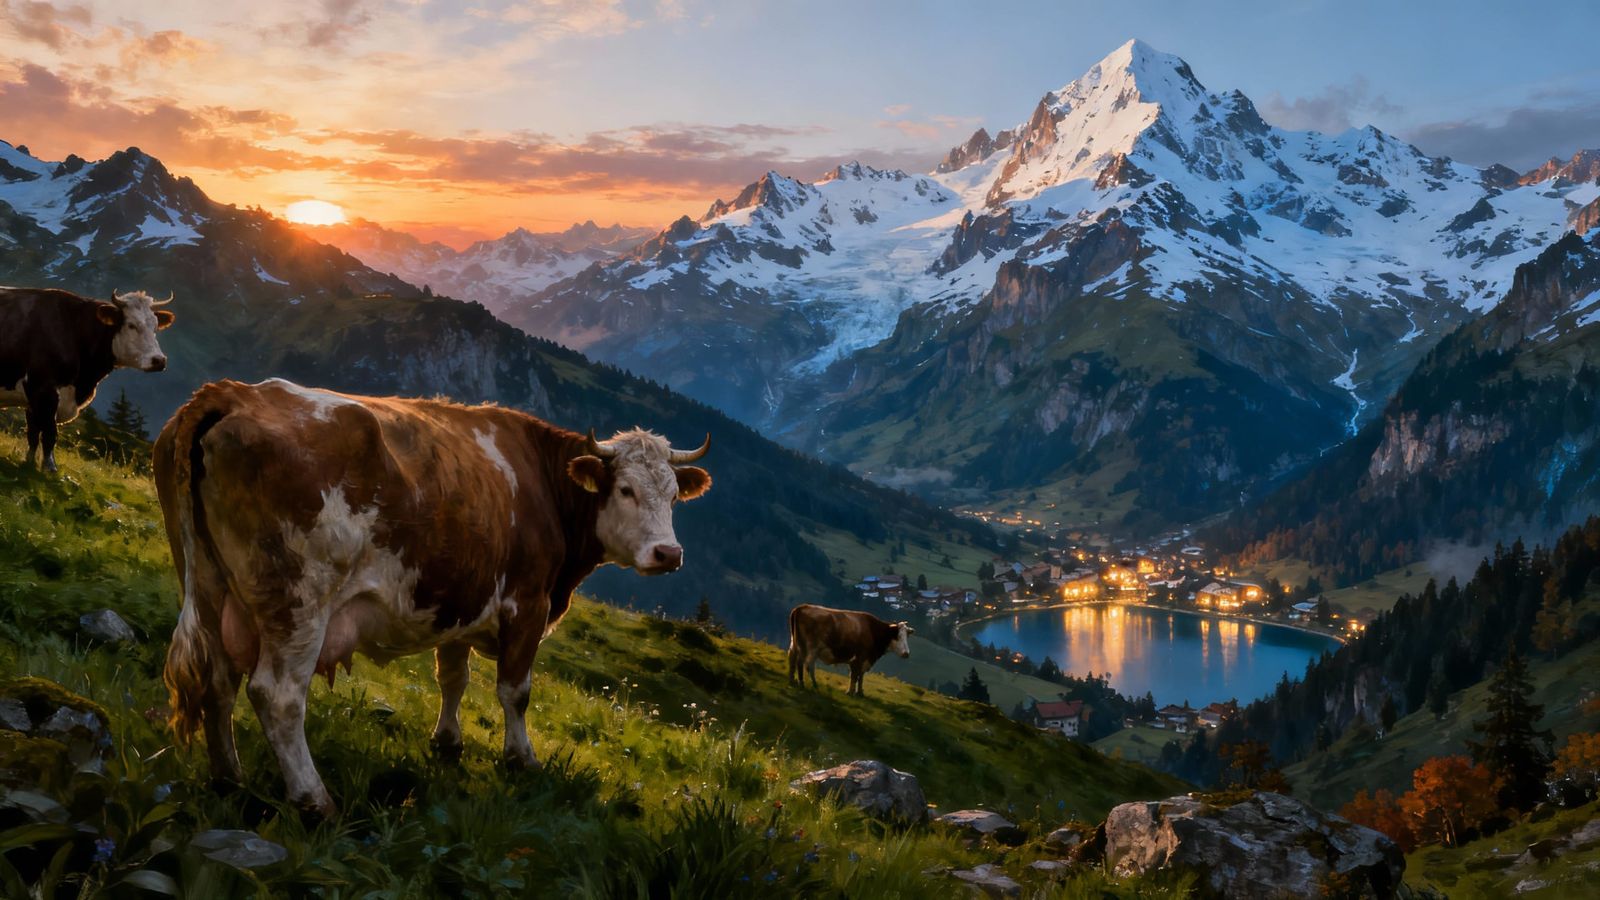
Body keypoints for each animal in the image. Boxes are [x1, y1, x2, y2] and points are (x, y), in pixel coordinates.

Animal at [0, 287, 174, 471]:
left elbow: (33, 432)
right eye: (131, 325)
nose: (159, 360)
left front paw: (29, 462)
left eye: (155, 327)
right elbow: (49, 433)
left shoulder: (34, 399)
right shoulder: (43, 388)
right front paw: (50, 467)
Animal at [154, 378, 712, 816]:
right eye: (625, 490)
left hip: (207, 585)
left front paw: (447, 743)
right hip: (299, 601)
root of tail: (233, 393)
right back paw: (315, 801)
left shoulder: (462, 603)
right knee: (278, 695)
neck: (543, 483)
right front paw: (521, 759)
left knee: (216, 680)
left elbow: (453, 678)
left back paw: (229, 779)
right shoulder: (526, 604)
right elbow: (516, 691)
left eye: (673, 495)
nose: (668, 553)